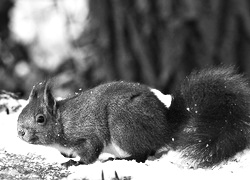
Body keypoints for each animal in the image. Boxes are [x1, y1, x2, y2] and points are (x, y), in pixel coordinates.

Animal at [16, 66, 250, 169]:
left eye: (40, 119)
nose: (20, 132)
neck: (63, 122)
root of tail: (165, 127)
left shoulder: (86, 134)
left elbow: (90, 152)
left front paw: (76, 163)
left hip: (123, 125)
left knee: (142, 154)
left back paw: (120, 159)